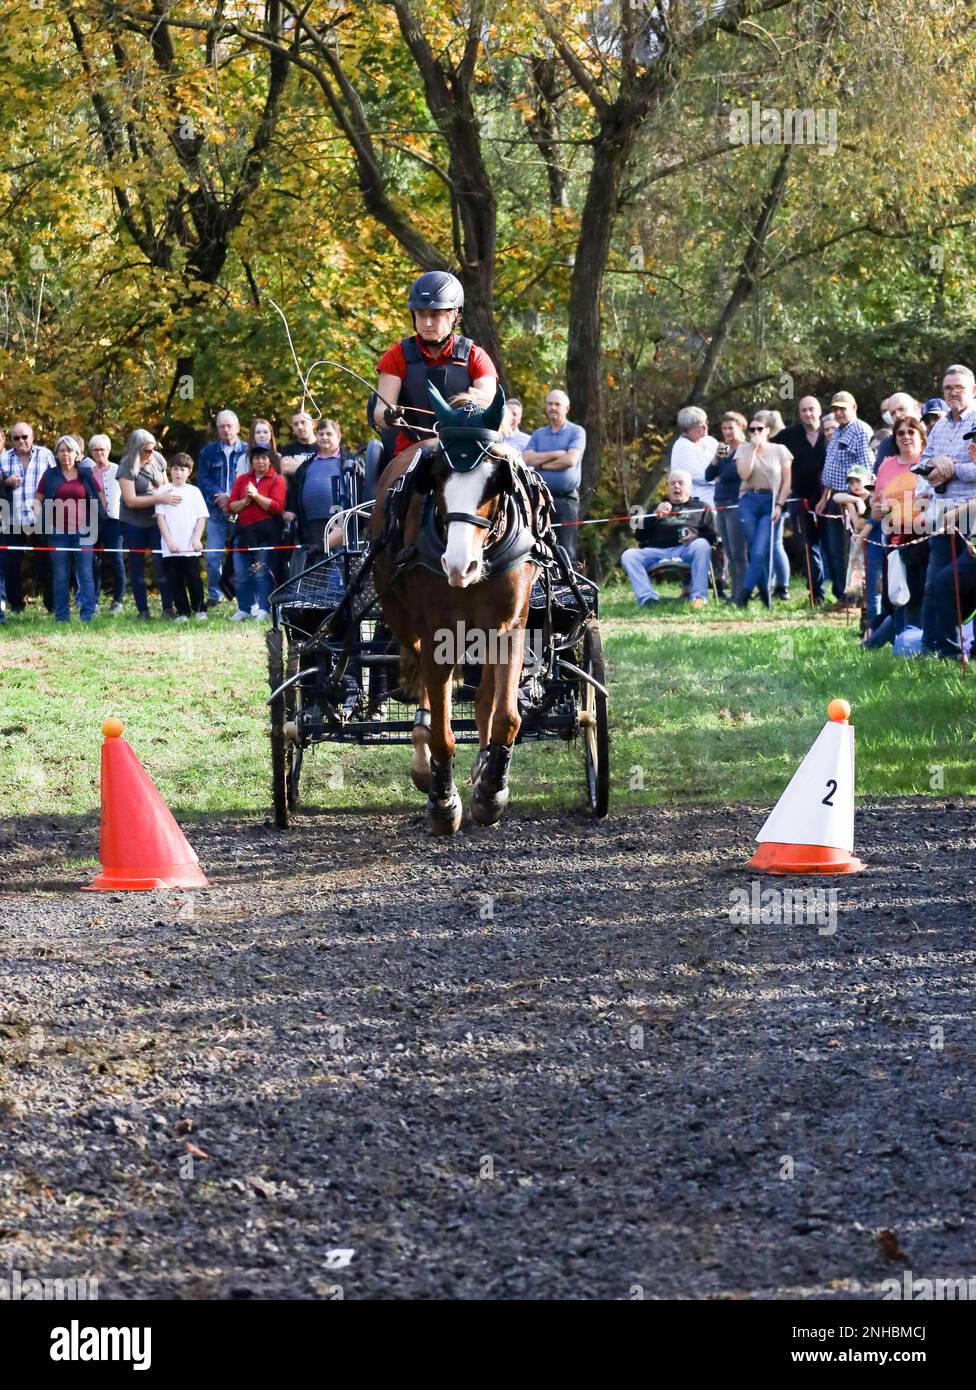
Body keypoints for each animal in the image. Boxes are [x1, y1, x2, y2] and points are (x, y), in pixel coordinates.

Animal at [370, 383, 549, 835]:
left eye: (495, 481)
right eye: (437, 478)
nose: (458, 565)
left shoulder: (509, 627)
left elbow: (506, 715)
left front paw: (491, 788)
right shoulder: (436, 632)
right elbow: (441, 728)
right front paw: (442, 800)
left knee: (485, 695)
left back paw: (483, 765)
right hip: (402, 618)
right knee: (424, 692)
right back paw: (424, 761)